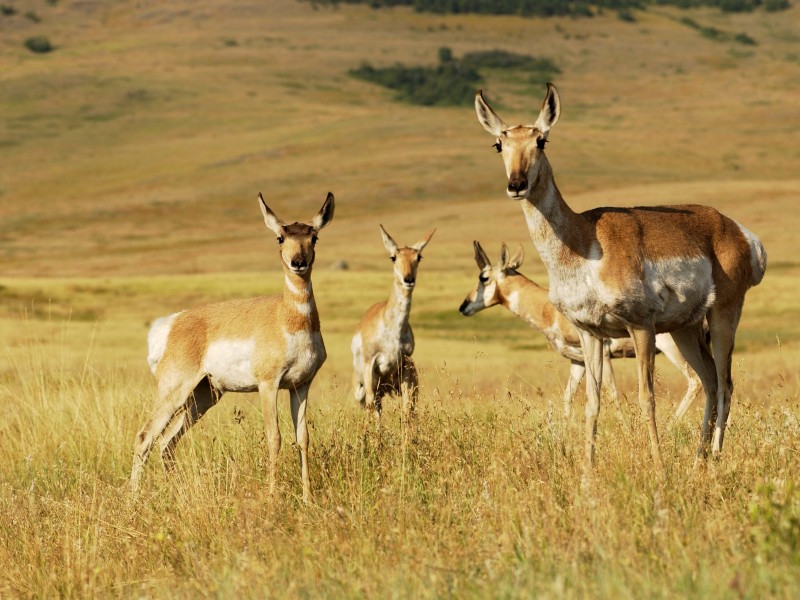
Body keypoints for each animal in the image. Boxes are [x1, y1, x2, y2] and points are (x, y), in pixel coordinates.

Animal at [130, 193, 335, 503]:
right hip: (174, 390)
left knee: (167, 441)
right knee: (145, 437)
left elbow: (303, 438)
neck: (287, 318)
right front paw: (272, 498)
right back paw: (132, 499)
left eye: (314, 237)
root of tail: (174, 322)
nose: (298, 262)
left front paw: (308, 499)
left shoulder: (301, 386)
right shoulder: (268, 385)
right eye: (280, 237)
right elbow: (274, 437)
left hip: (205, 395)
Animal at [351, 226, 435, 418]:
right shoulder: (370, 366)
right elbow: (371, 407)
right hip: (363, 388)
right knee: (370, 406)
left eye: (418, 257)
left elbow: (406, 410)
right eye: (393, 257)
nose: (408, 279)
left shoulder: (405, 367)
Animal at [459, 241, 703, 419]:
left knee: (696, 381)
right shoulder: (577, 361)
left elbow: (611, 393)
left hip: (673, 350)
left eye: (484, 277)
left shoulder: (603, 352)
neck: (550, 310)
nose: (463, 307)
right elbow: (568, 395)